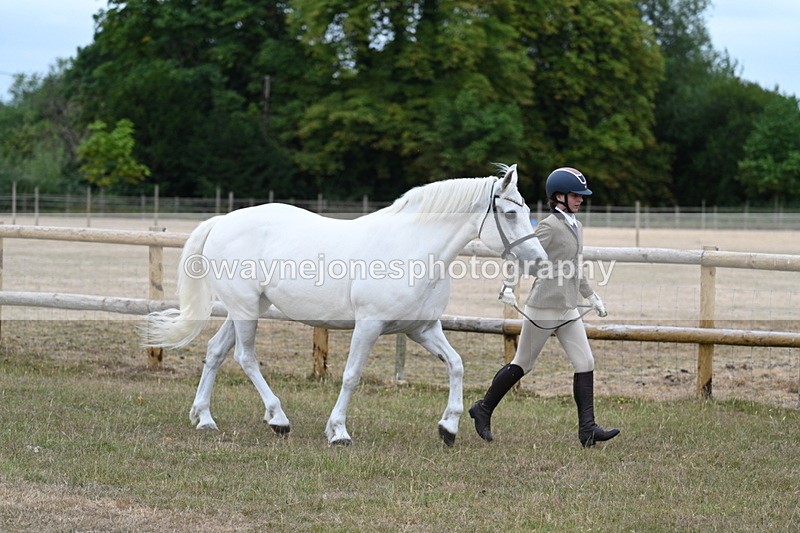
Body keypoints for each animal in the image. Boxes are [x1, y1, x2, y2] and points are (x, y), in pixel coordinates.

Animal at [143, 163, 547, 446]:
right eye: (511, 213)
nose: (540, 261)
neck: (412, 249)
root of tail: (222, 221)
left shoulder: (421, 329)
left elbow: (457, 365)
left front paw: (448, 427)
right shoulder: (368, 326)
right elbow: (351, 376)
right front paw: (338, 431)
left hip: (246, 309)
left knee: (215, 351)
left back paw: (205, 419)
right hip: (244, 310)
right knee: (245, 357)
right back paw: (278, 419)